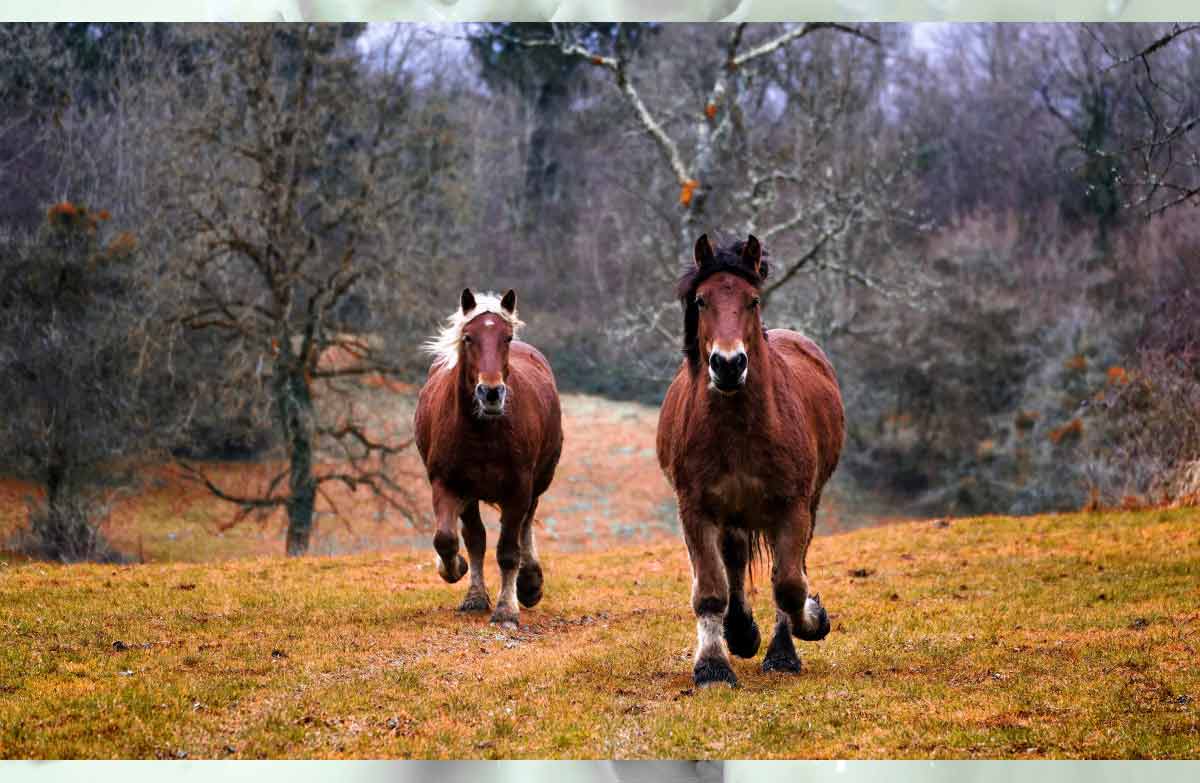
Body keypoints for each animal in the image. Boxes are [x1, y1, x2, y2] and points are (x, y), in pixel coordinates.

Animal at [414, 288, 563, 628]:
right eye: (468, 337)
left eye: (506, 337)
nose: (491, 393)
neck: (483, 432)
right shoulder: (448, 484)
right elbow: (448, 539)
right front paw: (456, 570)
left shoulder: (519, 488)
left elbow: (508, 550)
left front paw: (507, 609)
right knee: (475, 537)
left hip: (537, 482)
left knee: (525, 525)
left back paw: (529, 583)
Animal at [656, 234, 845, 687]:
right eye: (702, 300)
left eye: (752, 300)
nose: (728, 365)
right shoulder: (697, 509)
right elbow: (711, 589)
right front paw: (713, 666)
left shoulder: (792, 508)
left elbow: (790, 585)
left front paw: (810, 624)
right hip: (733, 515)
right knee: (735, 563)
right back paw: (740, 632)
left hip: (804, 505)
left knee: (786, 568)